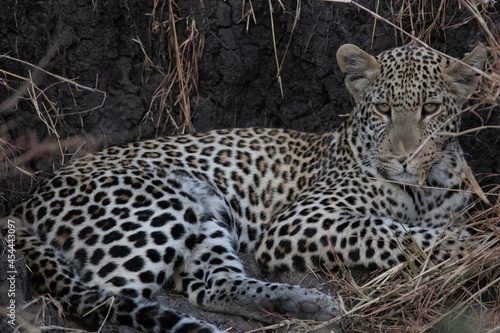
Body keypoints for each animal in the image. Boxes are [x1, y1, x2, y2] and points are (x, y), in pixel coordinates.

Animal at [1, 42, 486, 332]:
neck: (426, 186)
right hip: (159, 204)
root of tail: (26, 201)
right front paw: (473, 248)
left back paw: (302, 304)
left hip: (204, 211)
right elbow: (389, 230)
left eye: (430, 109)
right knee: (101, 301)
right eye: (383, 108)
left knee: (214, 286)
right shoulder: (300, 221)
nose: (402, 156)